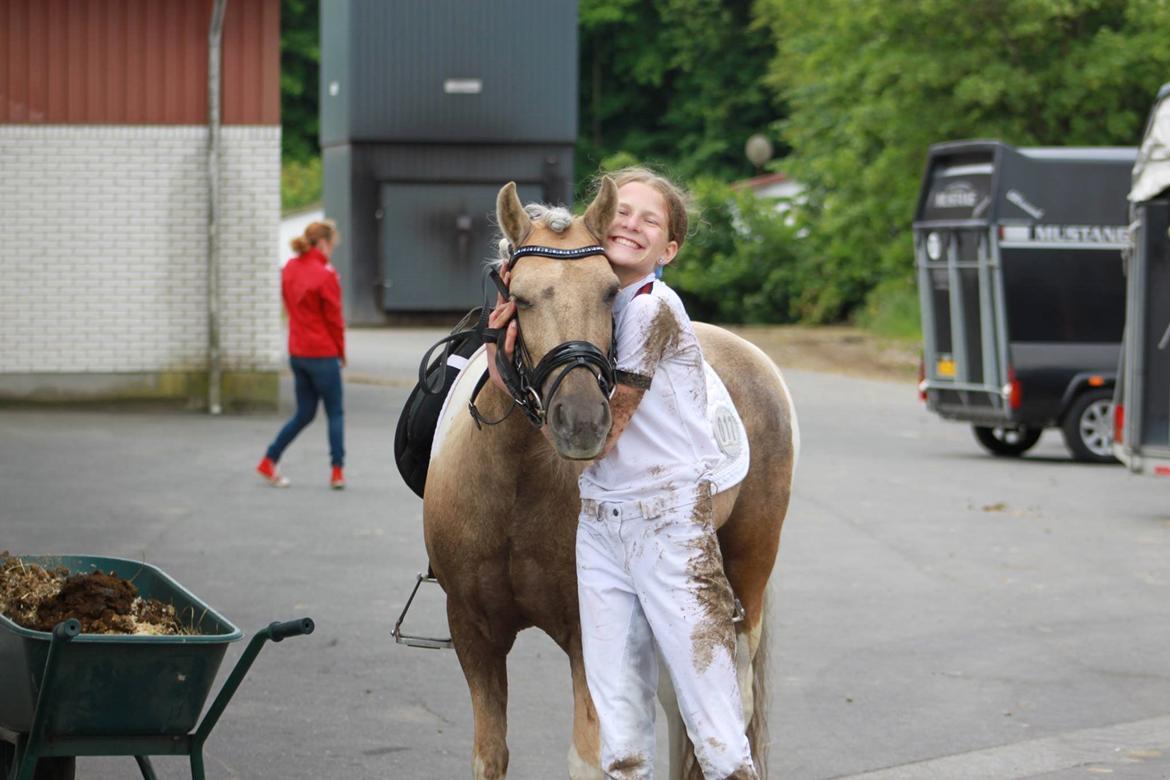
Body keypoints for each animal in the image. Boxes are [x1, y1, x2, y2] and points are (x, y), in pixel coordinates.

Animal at [421, 178, 795, 780]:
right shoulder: (473, 631)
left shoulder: (587, 636)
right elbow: (490, 755)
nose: (581, 421)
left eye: (608, 293)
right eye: (520, 298)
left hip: (748, 576)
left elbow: (591, 755)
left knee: (727, 709)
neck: (515, 484)